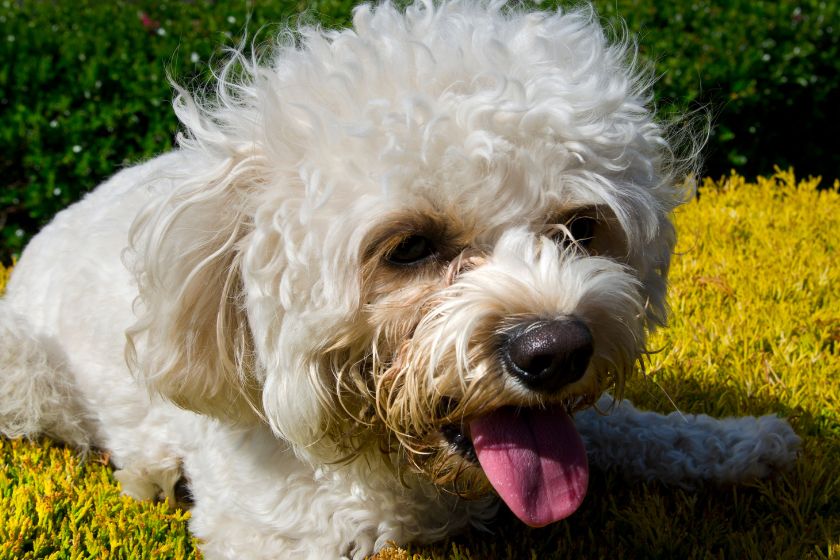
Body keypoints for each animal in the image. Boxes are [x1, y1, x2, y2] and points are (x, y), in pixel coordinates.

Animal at [0, 2, 800, 556]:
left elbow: (636, 428)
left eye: (579, 227)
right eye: (410, 247)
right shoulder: (289, 528)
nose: (556, 352)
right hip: (24, 372)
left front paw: (744, 443)